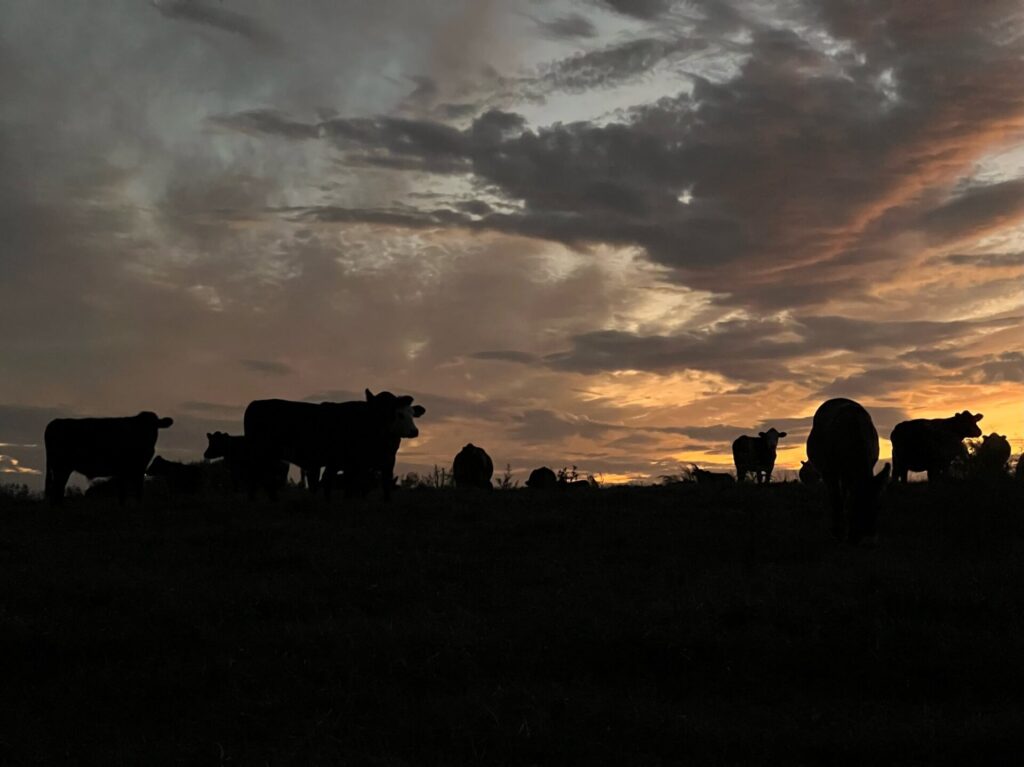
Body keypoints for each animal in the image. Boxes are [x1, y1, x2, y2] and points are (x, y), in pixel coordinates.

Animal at [45, 409, 174, 505]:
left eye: (154, 426)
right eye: (140, 428)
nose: (147, 439)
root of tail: (55, 422)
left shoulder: (138, 469)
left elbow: (134, 490)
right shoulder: (128, 469)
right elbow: (126, 491)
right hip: (61, 467)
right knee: (57, 488)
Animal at [242, 389, 423, 497]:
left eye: (411, 413)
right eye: (398, 414)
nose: (414, 431)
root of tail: (255, 403)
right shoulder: (344, 465)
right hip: (257, 454)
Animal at [806, 397, 888, 540]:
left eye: (879, 506)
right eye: (856, 504)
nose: (869, 536)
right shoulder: (829, 471)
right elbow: (836, 500)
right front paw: (837, 532)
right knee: (836, 496)